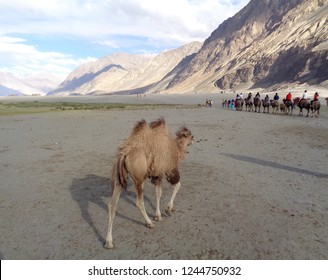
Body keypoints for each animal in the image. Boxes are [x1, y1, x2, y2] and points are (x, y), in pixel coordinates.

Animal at [104, 117, 193, 248]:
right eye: (191, 136)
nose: (194, 140)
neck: (175, 149)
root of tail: (123, 154)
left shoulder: (156, 174)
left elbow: (158, 193)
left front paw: (159, 214)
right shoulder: (168, 170)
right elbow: (173, 187)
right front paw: (166, 211)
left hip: (119, 179)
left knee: (112, 205)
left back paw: (109, 241)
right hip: (139, 178)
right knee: (139, 202)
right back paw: (149, 223)